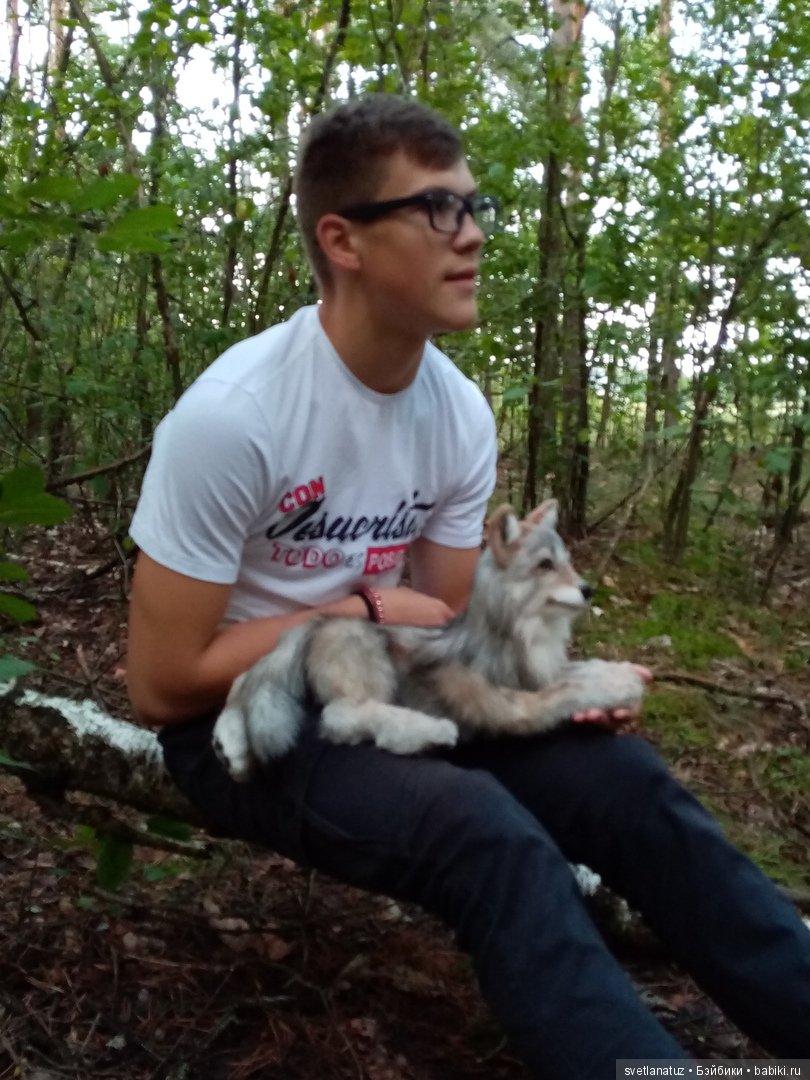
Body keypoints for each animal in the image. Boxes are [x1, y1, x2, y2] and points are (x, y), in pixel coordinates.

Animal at [212, 500, 647, 781]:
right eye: (544, 565)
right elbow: (571, 690)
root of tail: (319, 622)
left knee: (244, 682)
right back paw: (427, 731)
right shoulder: (514, 707)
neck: (522, 634)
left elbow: (581, 672)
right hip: (369, 661)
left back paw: (231, 743)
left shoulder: (543, 672)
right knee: (343, 717)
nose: (588, 590)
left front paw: (616, 673)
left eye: (568, 562)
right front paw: (623, 684)